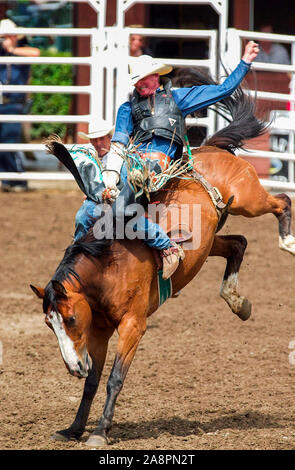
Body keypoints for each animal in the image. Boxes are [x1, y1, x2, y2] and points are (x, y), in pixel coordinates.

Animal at [30, 85, 294, 448]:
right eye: (48, 323)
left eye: (69, 319)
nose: (73, 367)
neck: (108, 265)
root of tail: (209, 148)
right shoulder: (98, 330)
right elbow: (93, 381)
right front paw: (73, 429)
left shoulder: (132, 325)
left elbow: (114, 378)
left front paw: (99, 432)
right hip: (210, 242)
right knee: (238, 243)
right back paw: (237, 301)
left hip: (248, 200)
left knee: (282, 201)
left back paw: (287, 241)